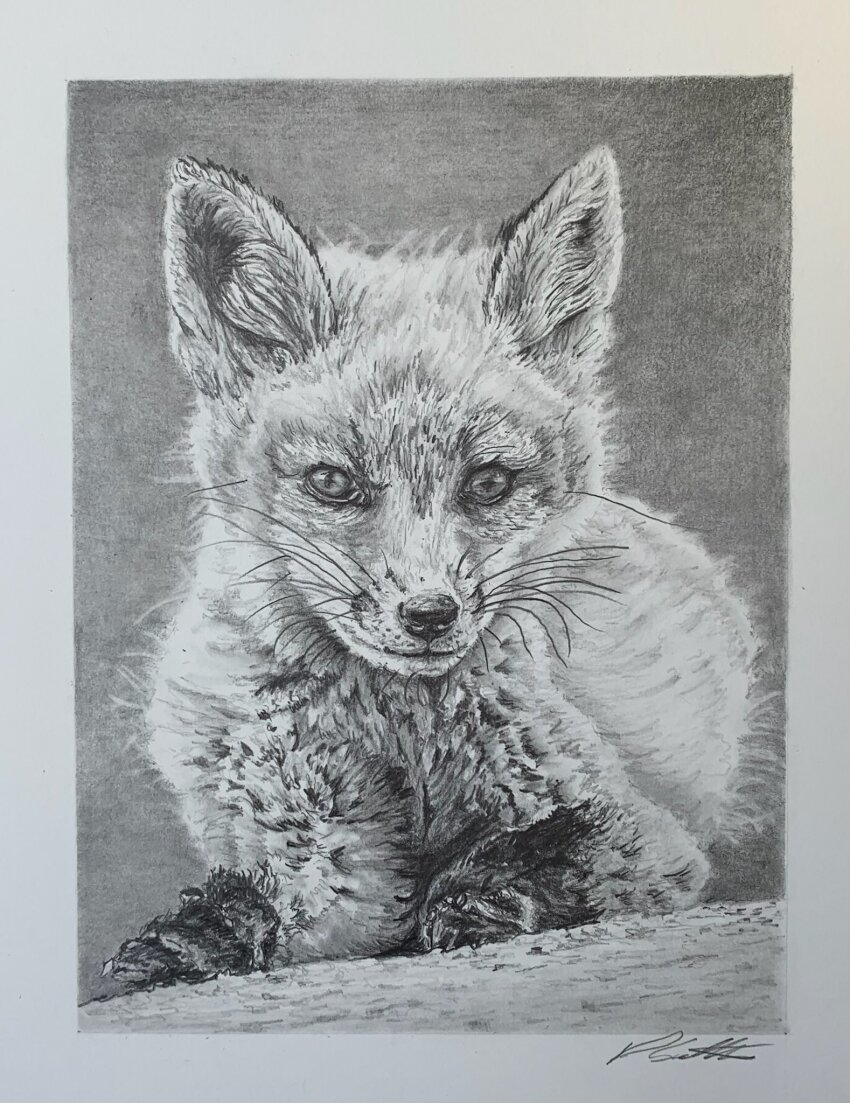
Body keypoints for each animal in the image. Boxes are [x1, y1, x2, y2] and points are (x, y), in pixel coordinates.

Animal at [105, 146, 773, 987]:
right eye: (333, 482)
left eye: (489, 482)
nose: (429, 614)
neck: (404, 737)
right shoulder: (319, 837)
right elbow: (300, 903)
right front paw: (198, 934)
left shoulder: (649, 838)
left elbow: (542, 848)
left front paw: (473, 897)